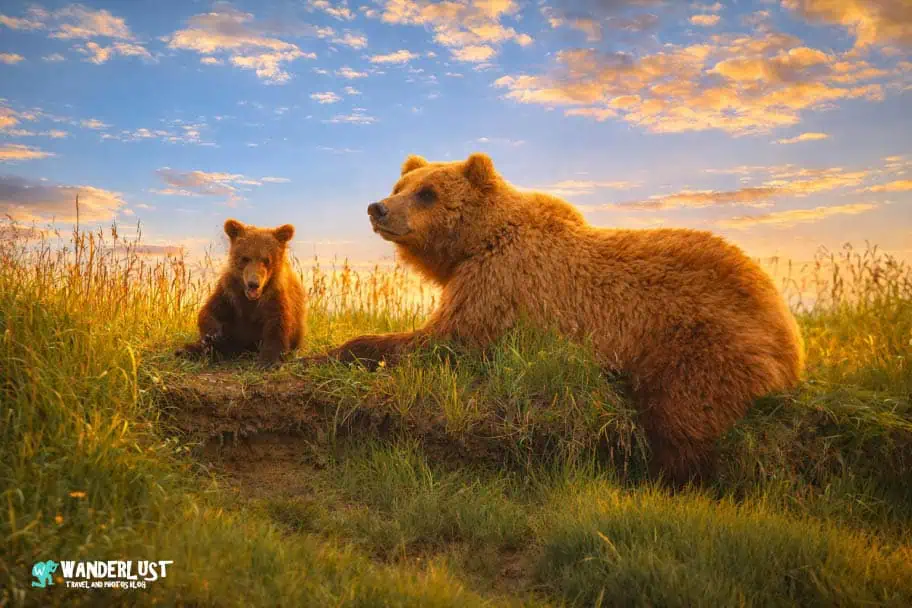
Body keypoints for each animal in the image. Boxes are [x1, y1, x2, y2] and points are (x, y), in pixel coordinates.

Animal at [178, 218, 307, 366]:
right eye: (245, 258)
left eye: (266, 260)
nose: (253, 284)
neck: (251, 299)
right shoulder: (230, 292)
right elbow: (210, 310)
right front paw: (212, 335)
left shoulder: (275, 296)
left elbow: (278, 325)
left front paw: (268, 361)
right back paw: (186, 351)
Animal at [310, 152, 805, 487]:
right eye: (399, 185)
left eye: (427, 192)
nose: (378, 207)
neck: (477, 241)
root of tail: (791, 337)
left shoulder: (501, 282)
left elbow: (447, 341)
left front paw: (336, 351)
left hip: (701, 340)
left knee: (684, 414)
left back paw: (671, 478)